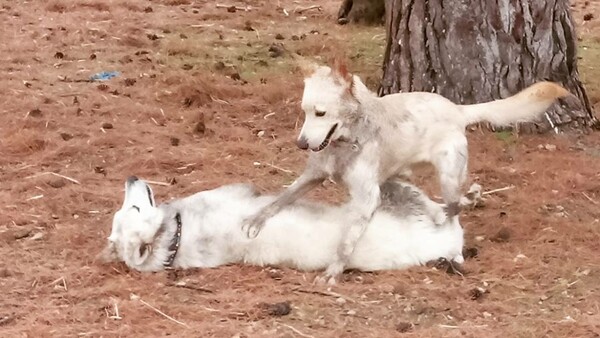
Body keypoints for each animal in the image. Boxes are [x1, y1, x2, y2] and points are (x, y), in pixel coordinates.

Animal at [241, 58, 568, 282]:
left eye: (321, 113)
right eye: (305, 111)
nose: (300, 143)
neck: (348, 140)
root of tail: (457, 109)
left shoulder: (367, 199)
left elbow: (346, 243)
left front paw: (333, 272)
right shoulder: (313, 176)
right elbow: (281, 198)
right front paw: (255, 220)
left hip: (447, 174)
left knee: (454, 211)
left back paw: (457, 235)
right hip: (397, 178)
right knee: (439, 205)